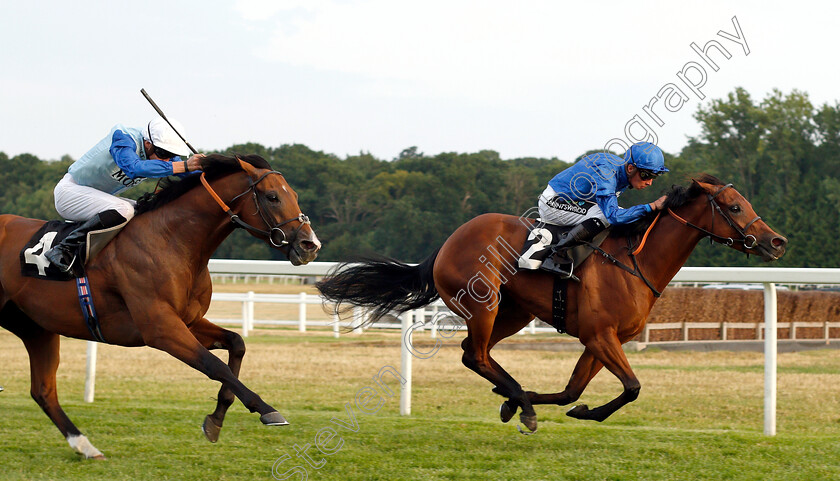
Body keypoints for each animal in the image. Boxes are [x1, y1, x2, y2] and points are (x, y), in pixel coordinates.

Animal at [0, 154, 322, 458]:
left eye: (294, 194)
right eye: (272, 196)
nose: (310, 245)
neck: (171, 240)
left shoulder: (188, 321)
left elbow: (236, 343)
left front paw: (216, 418)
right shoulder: (160, 328)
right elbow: (213, 364)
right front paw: (266, 409)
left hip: (35, 328)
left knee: (43, 391)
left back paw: (86, 447)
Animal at [316, 174, 788, 434]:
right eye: (734, 207)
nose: (776, 242)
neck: (634, 261)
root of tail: (449, 241)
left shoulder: (601, 340)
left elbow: (571, 392)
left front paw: (563, 406)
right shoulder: (600, 335)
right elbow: (632, 387)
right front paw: (549, 407)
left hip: (515, 311)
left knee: (474, 353)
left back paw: (513, 396)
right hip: (485, 304)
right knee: (477, 355)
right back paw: (520, 403)